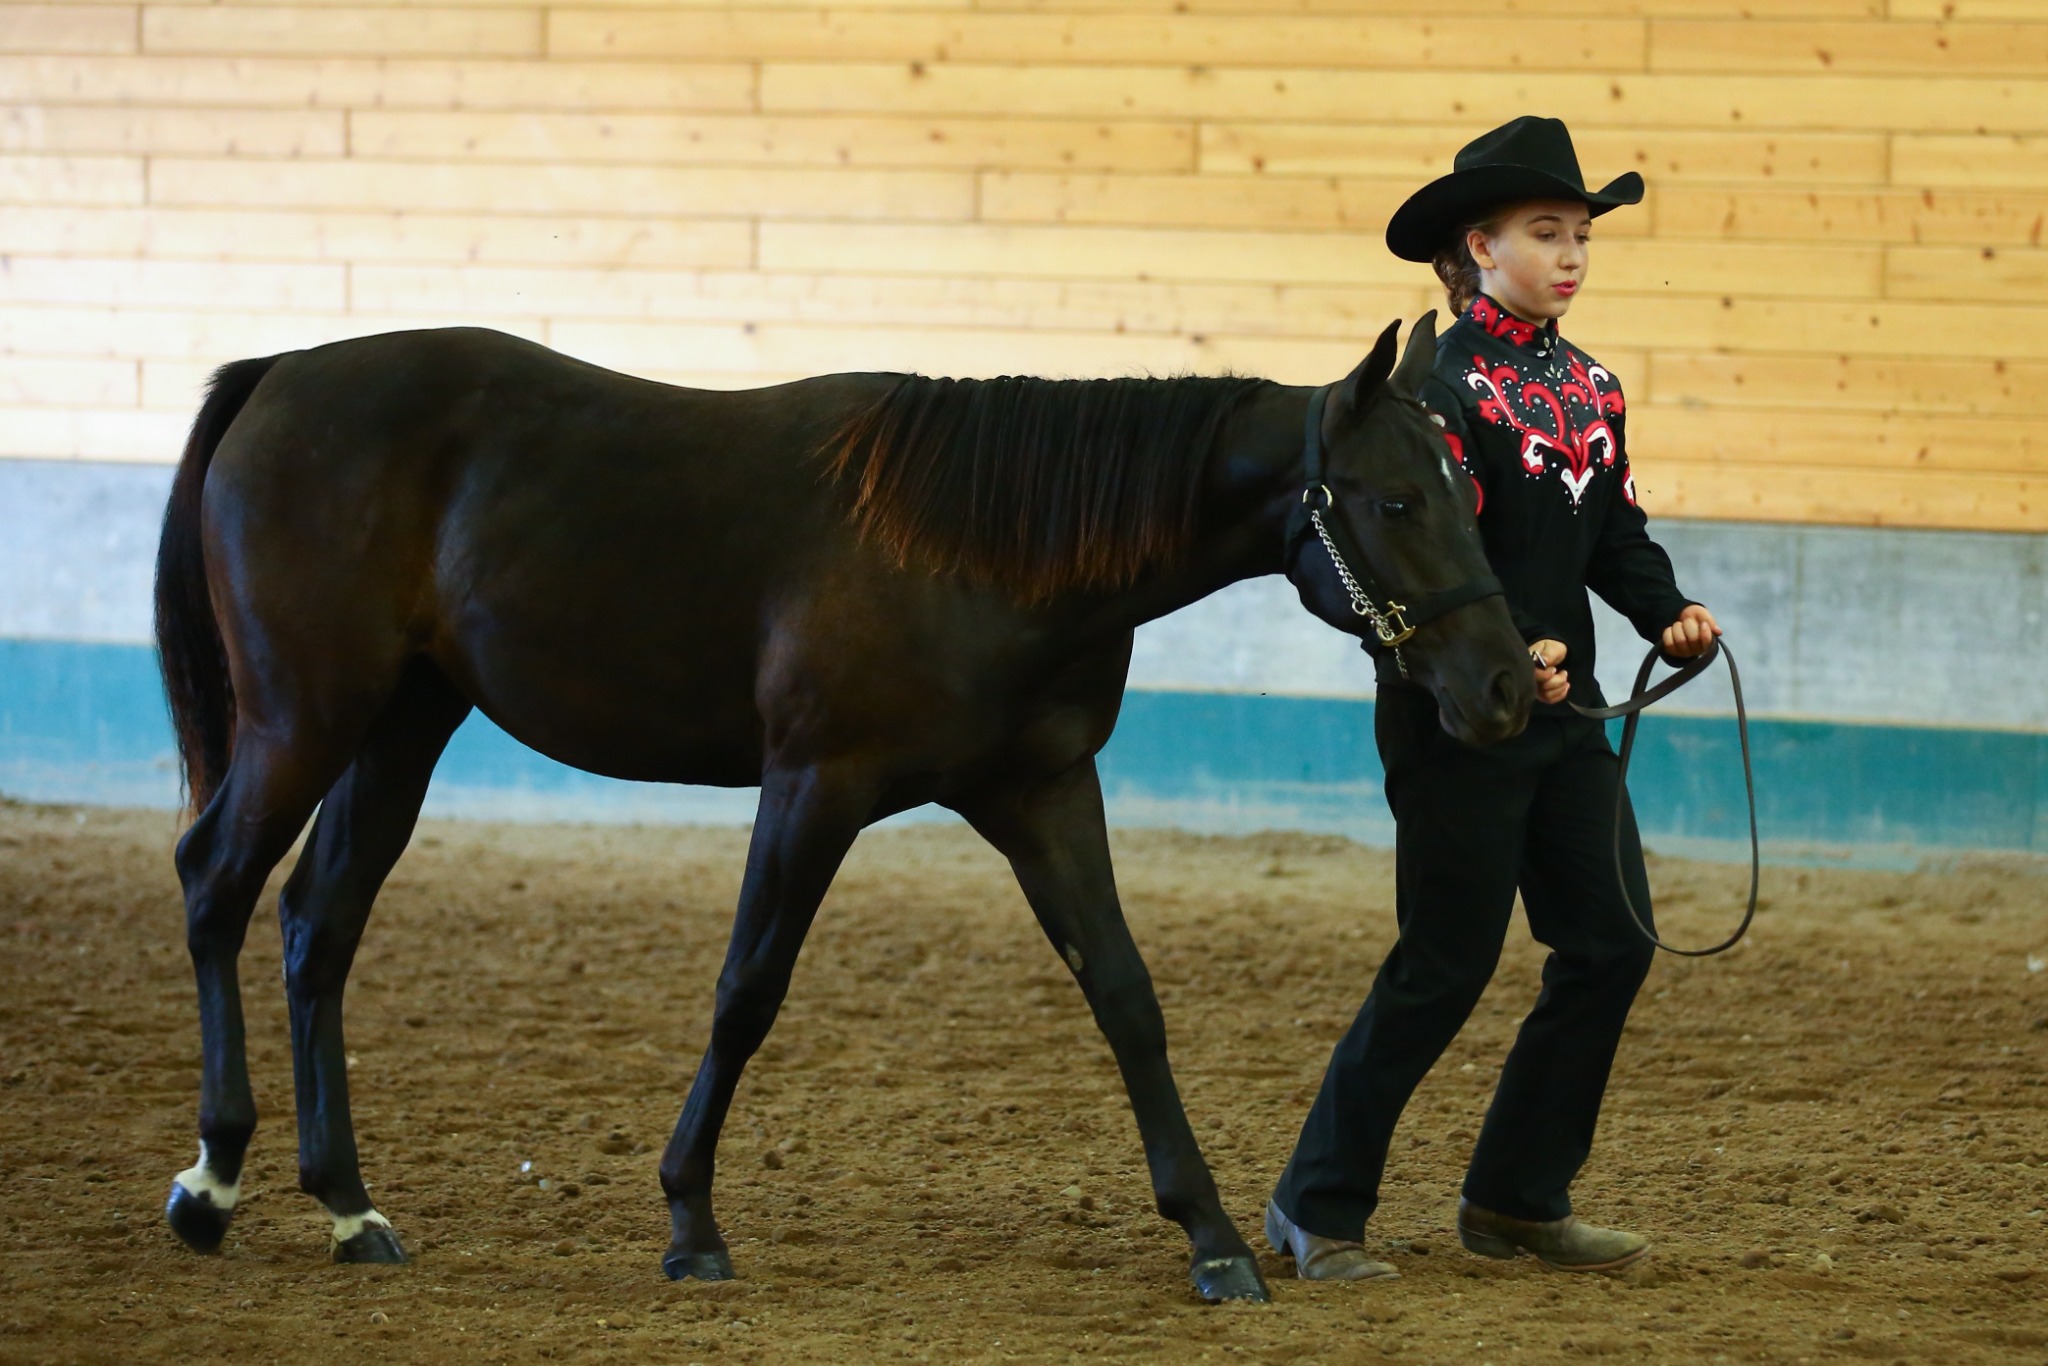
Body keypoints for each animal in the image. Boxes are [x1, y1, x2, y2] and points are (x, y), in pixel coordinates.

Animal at [151, 312, 1531, 1304]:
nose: (1511, 689)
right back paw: (210, 1182)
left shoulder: (1040, 791)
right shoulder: (816, 786)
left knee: (317, 925)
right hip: (301, 720)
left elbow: (1126, 996)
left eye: (1468, 491)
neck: (986, 550)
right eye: (1396, 500)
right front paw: (690, 1220)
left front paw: (1211, 1236)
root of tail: (280, 376)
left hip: (399, 727)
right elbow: (746, 991)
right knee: (215, 883)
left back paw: (349, 1208)